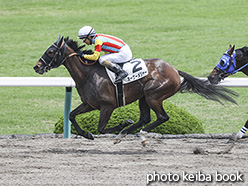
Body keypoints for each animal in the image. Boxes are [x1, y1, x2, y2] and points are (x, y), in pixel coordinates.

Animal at [34, 35, 237, 145]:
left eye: (50, 52)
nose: (37, 67)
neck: (88, 74)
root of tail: (174, 70)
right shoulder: (89, 104)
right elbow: (71, 115)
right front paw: (87, 134)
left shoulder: (107, 106)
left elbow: (101, 128)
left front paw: (121, 124)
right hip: (143, 97)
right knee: (145, 118)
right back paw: (127, 134)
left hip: (153, 95)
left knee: (162, 117)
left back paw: (139, 133)